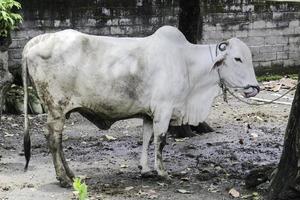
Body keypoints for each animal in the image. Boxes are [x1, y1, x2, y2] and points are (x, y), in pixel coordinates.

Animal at [22, 25, 258, 187]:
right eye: (237, 59)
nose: (254, 88)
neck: (186, 63)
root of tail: (36, 41)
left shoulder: (148, 114)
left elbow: (147, 138)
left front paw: (145, 169)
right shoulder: (164, 109)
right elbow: (161, 141)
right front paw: (162, 172)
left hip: (60, 111)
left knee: (59, 141)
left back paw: (71, 174)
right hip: (56, 108)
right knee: (53, 138)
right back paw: (63, 178)